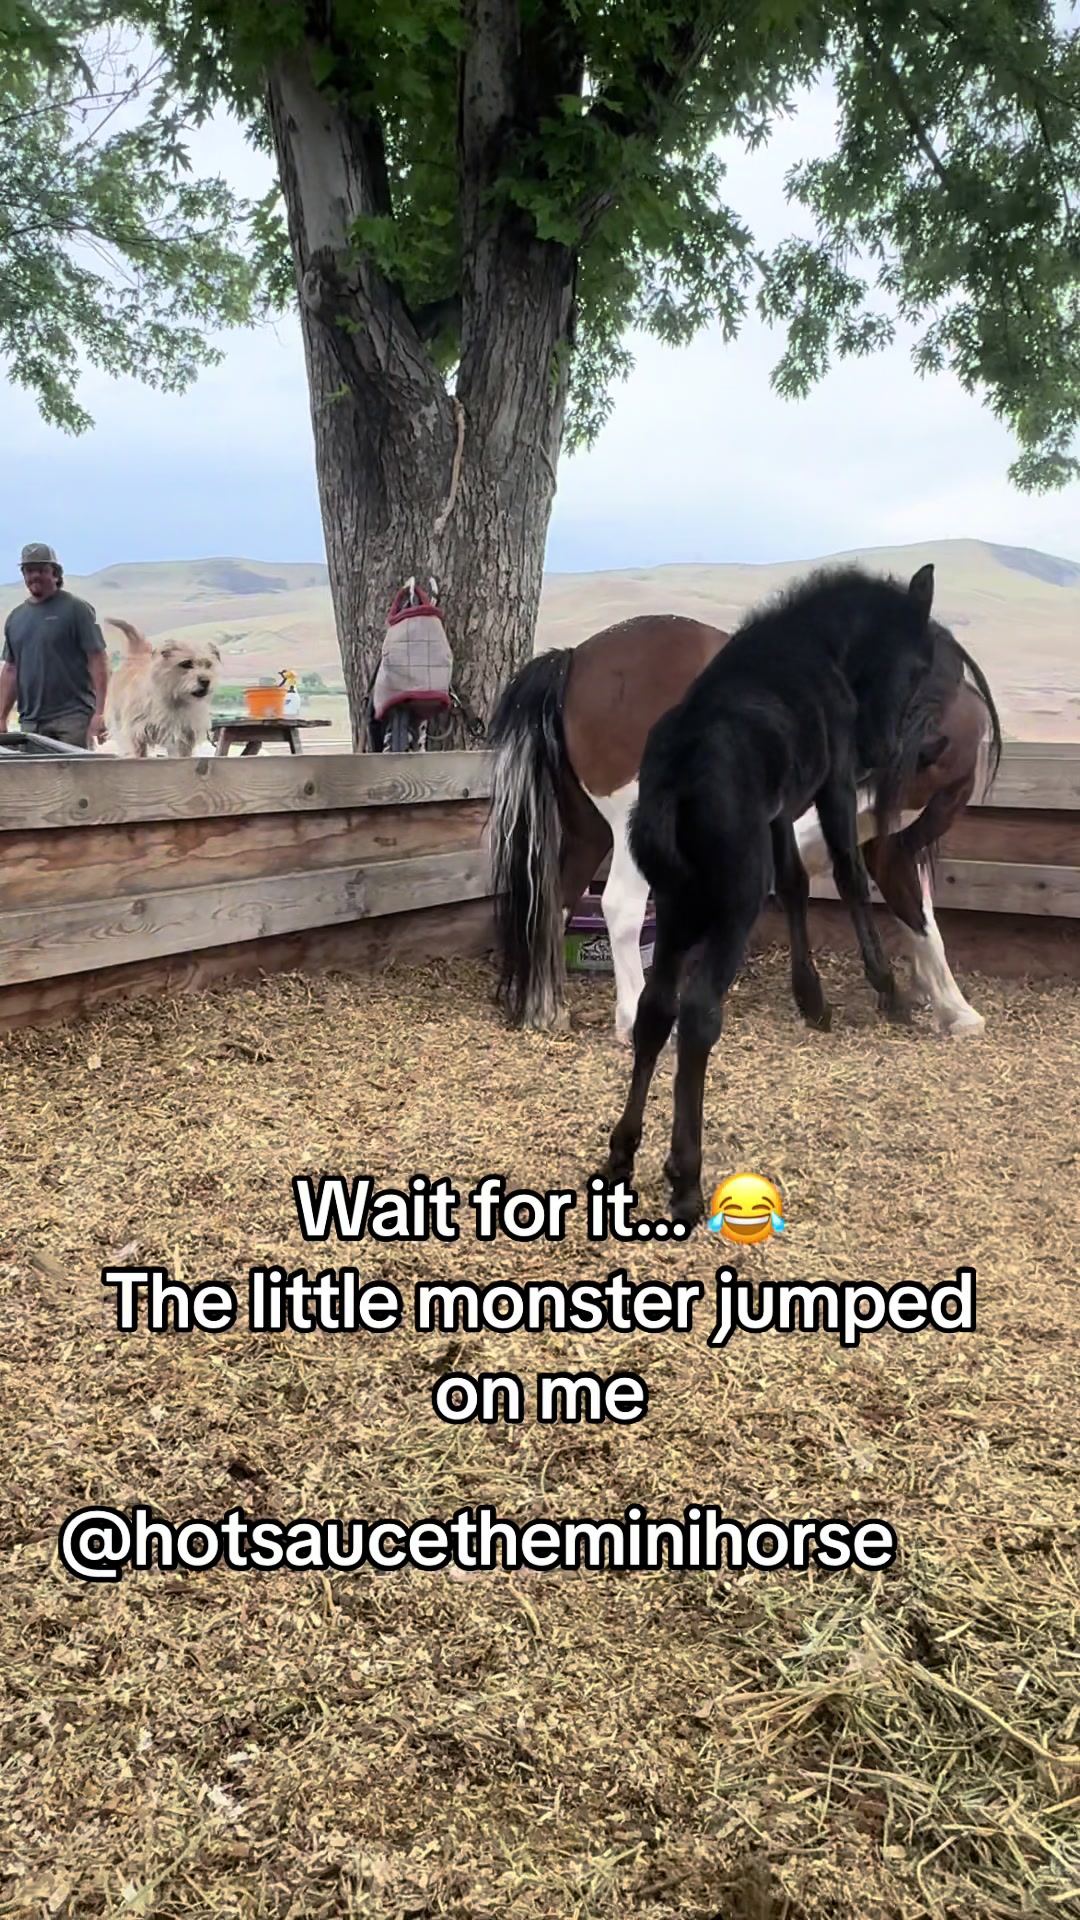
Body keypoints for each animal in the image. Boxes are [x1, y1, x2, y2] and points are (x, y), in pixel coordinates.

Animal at [488, 576, 1001, 1048]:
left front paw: (945, 1005)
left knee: (556, 902)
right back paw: (634, 1020)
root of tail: (575, 657)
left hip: (590, 830)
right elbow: (896, 903)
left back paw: (546, 1010)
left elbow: (913, 909)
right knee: (620, 905)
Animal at [594, 562, 998, 1228]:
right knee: (698, 1014)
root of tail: (676, 783)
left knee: (655, 1011)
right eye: (920, 665)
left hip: (675, 912)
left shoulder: (782, 810)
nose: (886, 750)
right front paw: (887, 992)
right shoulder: (833, 783)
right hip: (728, 911)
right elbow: (849, 873)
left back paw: (621, 1156)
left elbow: (797, 884)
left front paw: (814, 999)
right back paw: (685, 1180)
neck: (813, 649)